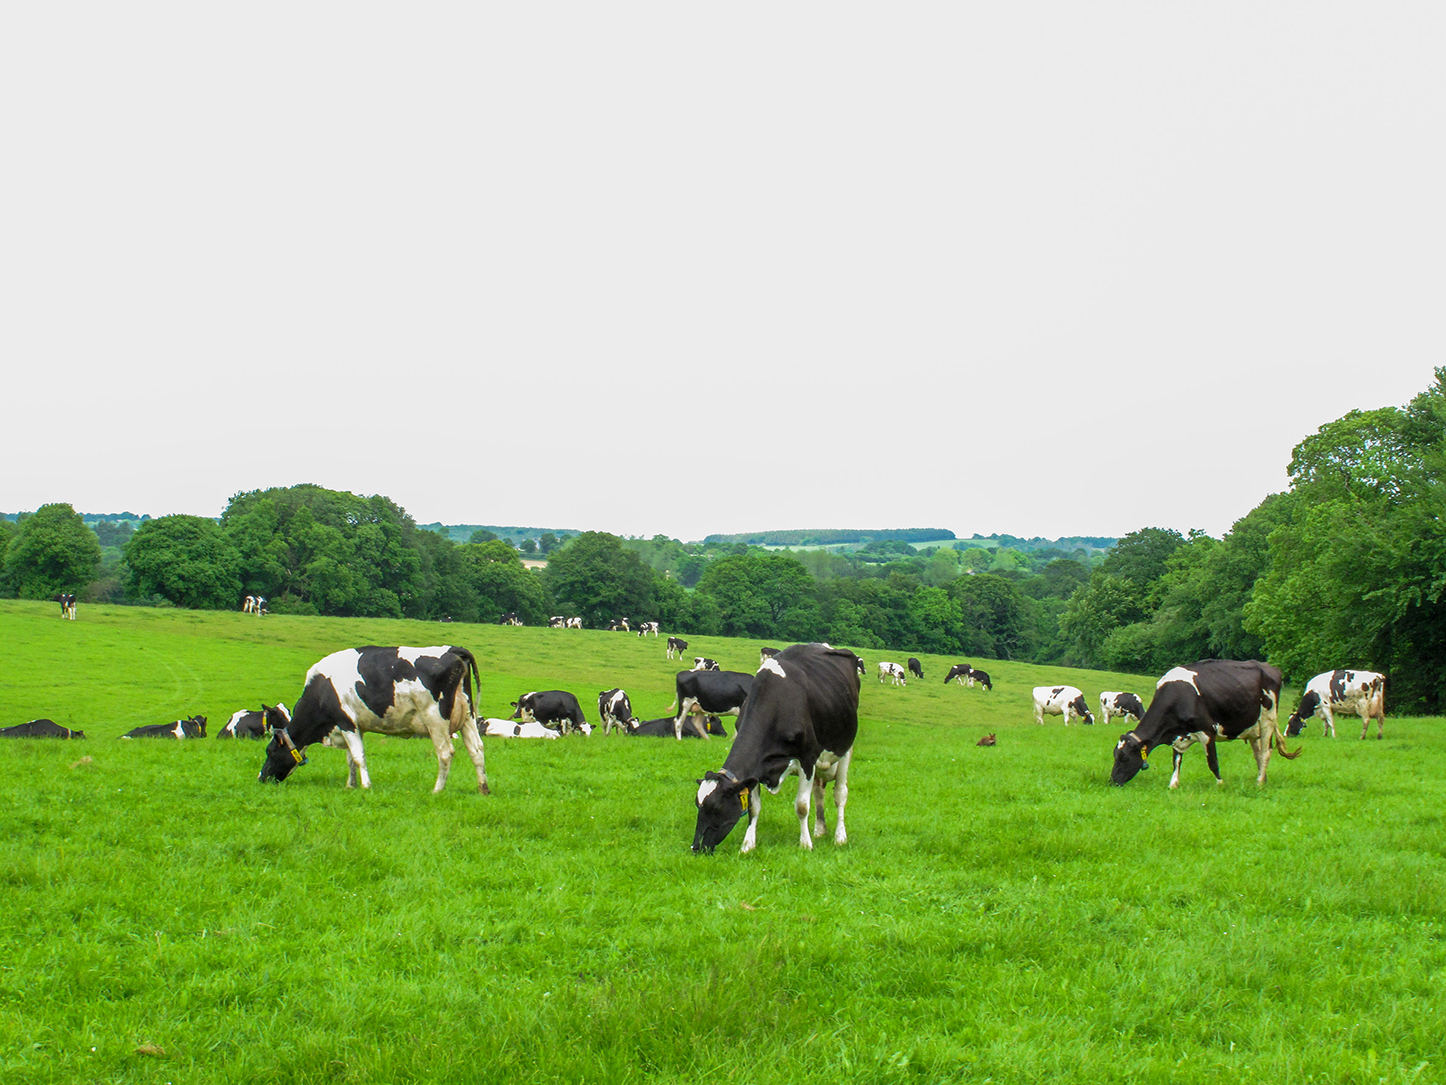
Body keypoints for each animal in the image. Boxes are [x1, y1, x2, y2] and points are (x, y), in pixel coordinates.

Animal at [257, 645, 488, 792]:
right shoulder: (355, 726)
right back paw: (483, 788)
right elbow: (350, 758)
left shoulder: (346, 722)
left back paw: (437, 790)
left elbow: (358, 756)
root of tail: (452, 649)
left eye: (270, 752)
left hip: (435, 718)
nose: (261, 778)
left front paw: (366, 787)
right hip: (467, 717)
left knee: (445, 753)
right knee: (476, 750)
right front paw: (350, 785)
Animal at [688, 645, 856, 856]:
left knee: (840, 794)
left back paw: (840, 837)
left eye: (717, 807)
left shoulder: (807, 758)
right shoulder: (756, 768)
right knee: (819, 792)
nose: (696, 847)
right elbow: (754, 808)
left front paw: (805, 844)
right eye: (697, 805)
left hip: (845, 750)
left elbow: (802, 806)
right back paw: (820, 830)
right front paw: (747, 845)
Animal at [1110, 662, 1307, 792]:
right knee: (1258, 754)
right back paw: (1262, 779)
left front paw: (1220, 784)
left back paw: (1259, 783)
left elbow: (1212, 762)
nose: (1112, 782)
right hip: (1252, 728)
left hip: (1267, 719)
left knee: (1266, 752)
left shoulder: (1208, 731)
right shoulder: (1178, 736)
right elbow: (1176, 761)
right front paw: (1173, 784)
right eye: (1115, 755)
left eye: (1125, 757)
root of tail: (1270, 667)